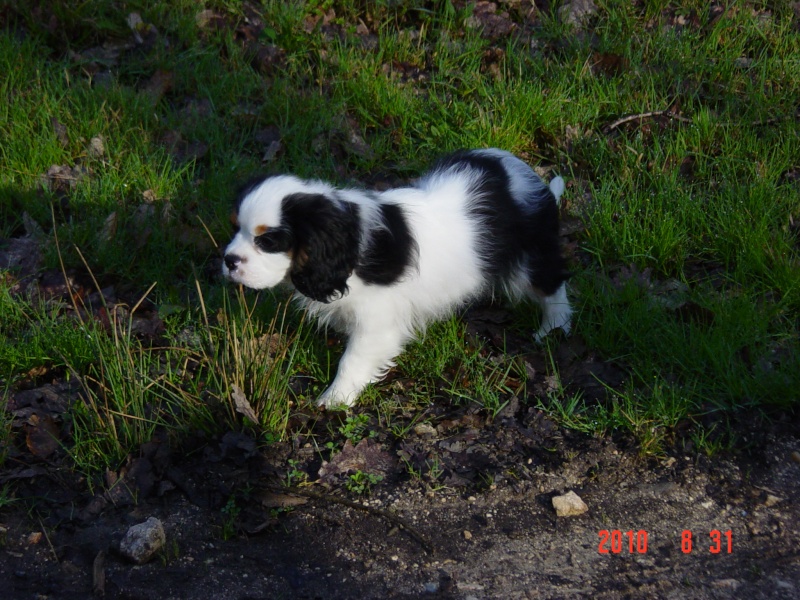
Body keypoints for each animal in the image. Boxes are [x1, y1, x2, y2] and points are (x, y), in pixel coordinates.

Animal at [222, 149, 572, 408]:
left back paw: (553, 329)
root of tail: (524, 173)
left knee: (552, 286)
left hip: (531, 257)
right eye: (235, 228)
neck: (346, 235)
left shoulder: (377, 321)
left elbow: (352, 359)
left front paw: (334, 399)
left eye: (268, 241)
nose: (228, 260)